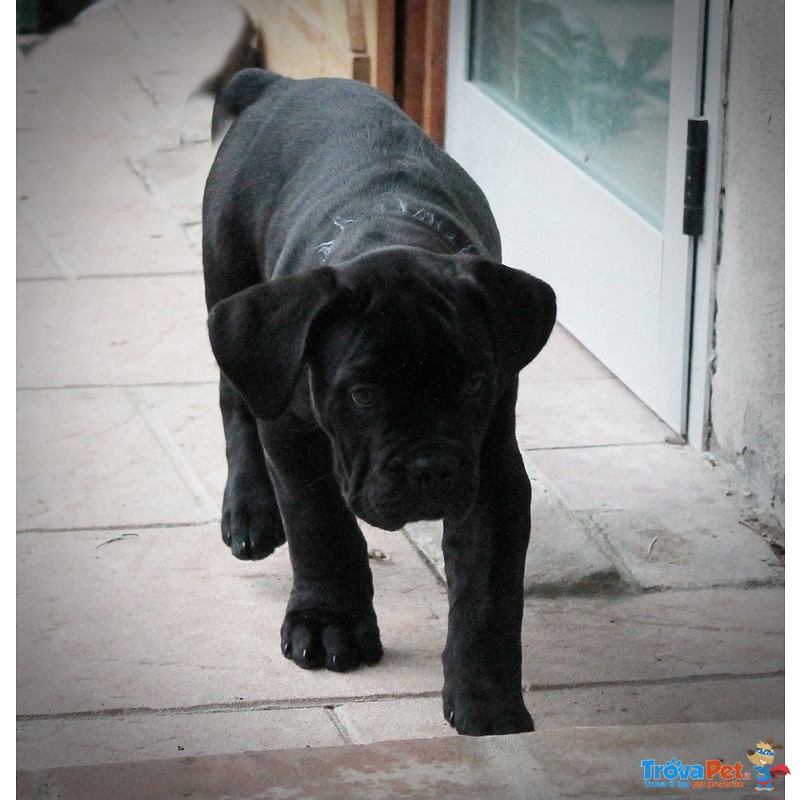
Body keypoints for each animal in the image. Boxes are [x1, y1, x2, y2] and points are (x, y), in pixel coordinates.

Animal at [203, 68, 556, 736]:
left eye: (474, 386)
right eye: (363, 395)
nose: (431, 469)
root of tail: (283, 82)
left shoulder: (492, 470)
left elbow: (487, 591)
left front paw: (486, 699)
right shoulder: (295, 436)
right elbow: (321, 525)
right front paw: (330, 622)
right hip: (231, 288)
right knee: (236, 398)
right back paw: (251, 511)